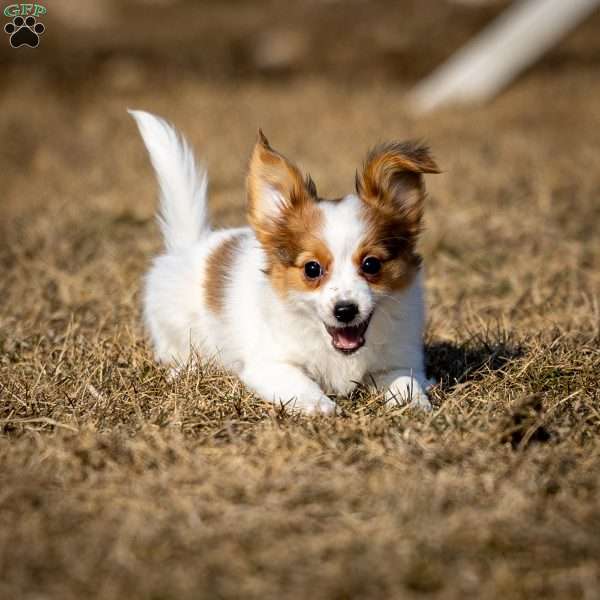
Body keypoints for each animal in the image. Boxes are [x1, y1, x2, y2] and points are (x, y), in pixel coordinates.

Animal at [132, 110, 440, 414]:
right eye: (312, 269)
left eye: (371, 265)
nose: (345, 311)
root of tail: (193, 243)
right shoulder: (270, 365)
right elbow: (301, 384)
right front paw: (320, 407)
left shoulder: (399, 363)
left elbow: (406, 382)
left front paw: (415, 404)